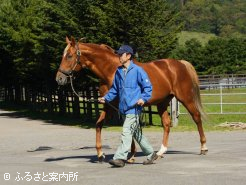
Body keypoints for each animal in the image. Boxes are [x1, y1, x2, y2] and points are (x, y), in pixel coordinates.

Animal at [55, 37, 208, 162]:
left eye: (69, 56)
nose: (59, 78)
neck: (111, 70)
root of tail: (180, 63)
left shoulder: (123, 106)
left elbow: (128, 127)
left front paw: (130, 155)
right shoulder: (109, 105)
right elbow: (99, 124)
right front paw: (100, 154)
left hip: (186, 98)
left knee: (196, 117)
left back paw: (203, 148)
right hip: (162, 102)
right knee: (166, 123)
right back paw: (160, 152)